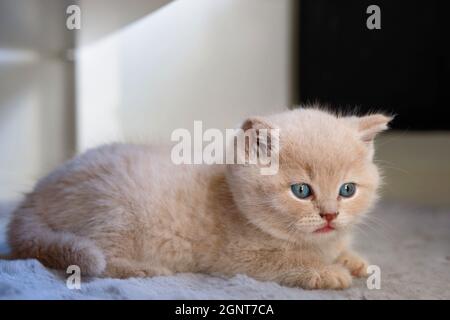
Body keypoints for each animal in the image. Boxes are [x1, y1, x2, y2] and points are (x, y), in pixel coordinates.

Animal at [2, 107, 390, 290]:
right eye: (301, 191)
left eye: (347, 190)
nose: (330, 215)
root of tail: (34, 196)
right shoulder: (238, 257)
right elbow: (289, 259)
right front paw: (330, 271)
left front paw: (353, 260)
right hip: (116, 209)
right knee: (100, 257)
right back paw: (143, 269)